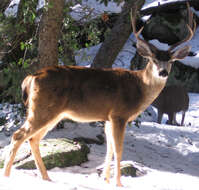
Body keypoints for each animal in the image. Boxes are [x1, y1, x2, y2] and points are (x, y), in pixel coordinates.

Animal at [2, 2, 196, 187]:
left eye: (171, 61)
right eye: (153, 59)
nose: (163, 72)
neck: (140, 87)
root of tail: (31, 77)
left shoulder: (108, 118)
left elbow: (109, 149)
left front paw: (105, 180)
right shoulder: (119, 114)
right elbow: (118, 149)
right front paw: (119, 183)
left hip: (51, 113)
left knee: (33, 139)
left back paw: (46, 178)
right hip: (42, 109)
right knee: (18, 135)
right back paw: (7, 176)